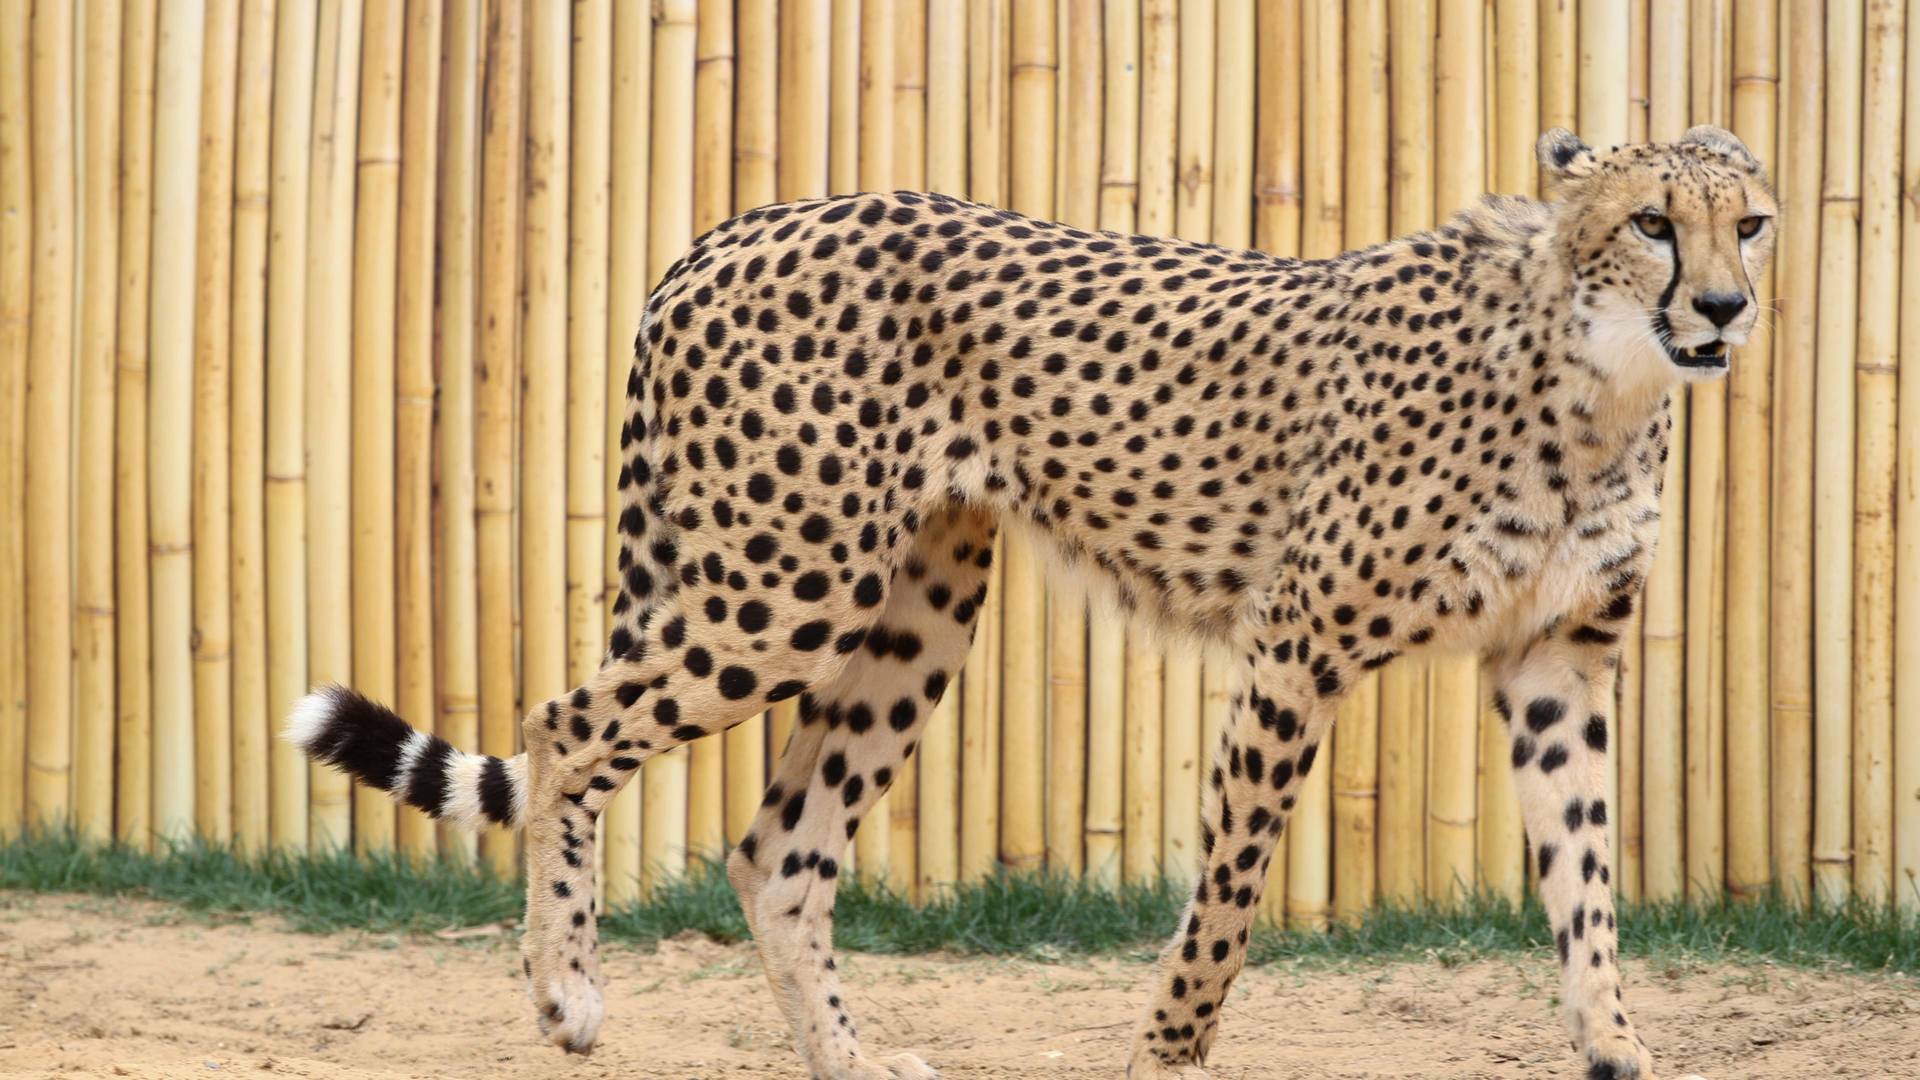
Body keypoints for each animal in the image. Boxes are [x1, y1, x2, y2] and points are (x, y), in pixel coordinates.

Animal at [289, 125, 1774, 1080]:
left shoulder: (1558, 659)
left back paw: (849, 1059)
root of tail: (732, 227)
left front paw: (1618, 1045)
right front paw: (1167, 1052)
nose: (1724, 306)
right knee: (567, 729)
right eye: (1653, 221)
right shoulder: (1294, 648)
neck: (1598, 376)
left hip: (915, 606)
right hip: (785, 588)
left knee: (779, 849)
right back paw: (566, 993)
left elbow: (1586, 875)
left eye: (1747, 221)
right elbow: (1230, 892)